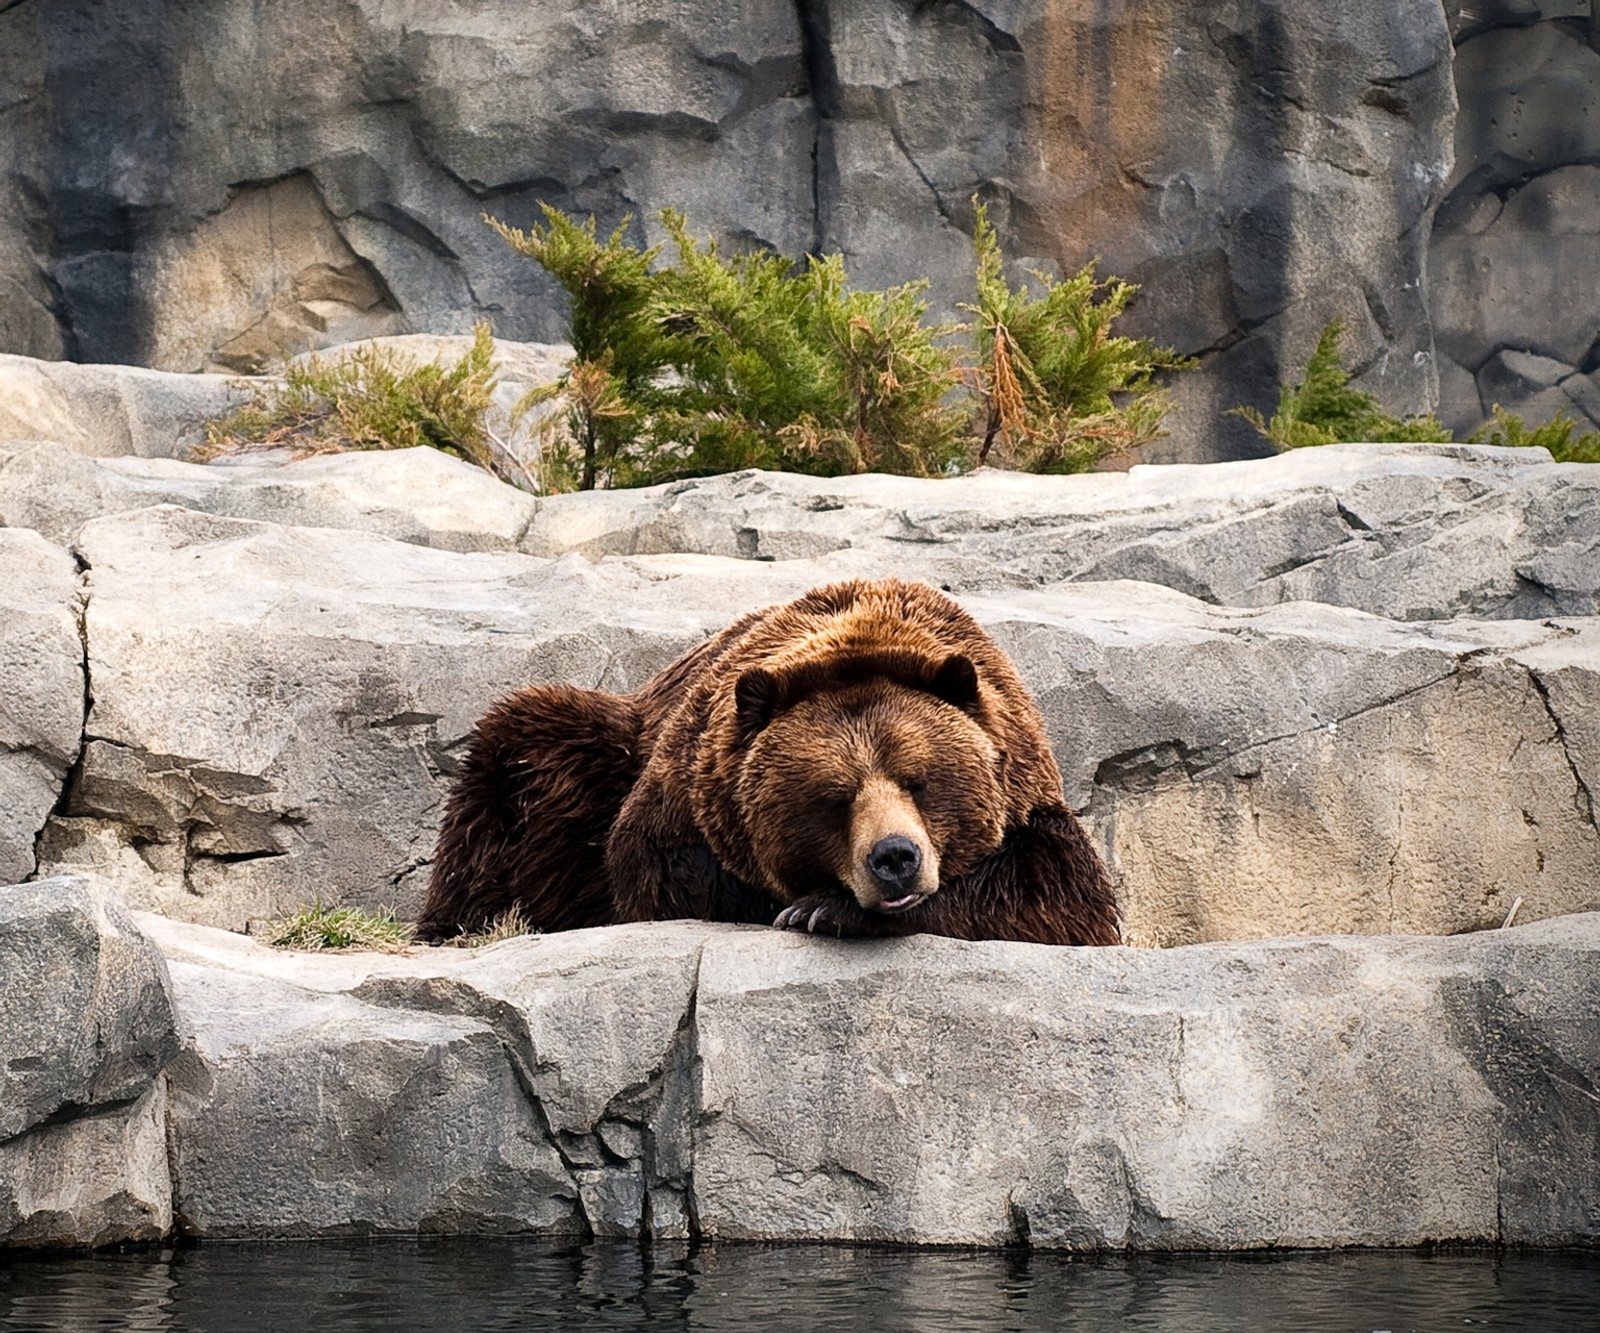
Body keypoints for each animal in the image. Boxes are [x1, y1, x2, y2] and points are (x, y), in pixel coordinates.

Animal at [419, 576, 1120, 940]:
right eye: (835, 797)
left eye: (918, 781)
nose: (895, 858)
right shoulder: (685, 789)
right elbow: (662, 873)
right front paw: (809, 903)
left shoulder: (1026, 788)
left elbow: (1057, 895)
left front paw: (825, 908)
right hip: (597, 752)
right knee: (520, 759)